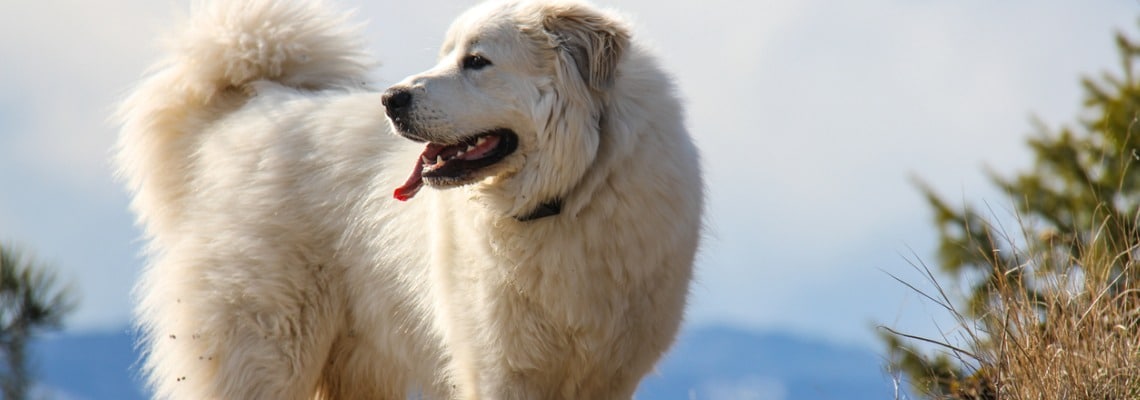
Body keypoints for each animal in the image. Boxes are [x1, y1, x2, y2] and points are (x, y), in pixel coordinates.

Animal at [117, 0, 702, 398]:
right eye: (446, 55)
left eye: (477, 61)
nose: (390, 99)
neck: (568, 194)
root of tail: (249, 109)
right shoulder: (498, 369)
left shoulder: (609, 373)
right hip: (264, 348)